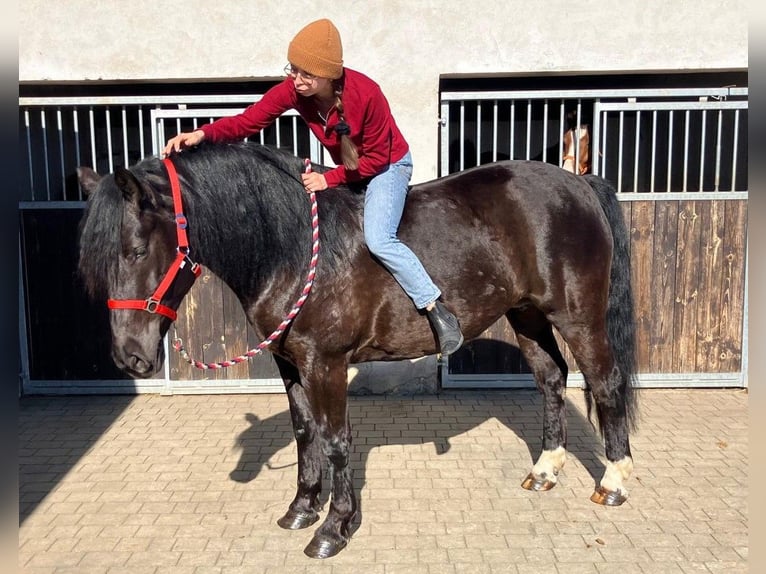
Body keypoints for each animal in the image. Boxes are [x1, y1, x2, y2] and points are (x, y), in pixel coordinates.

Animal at [76, 141, 638, 559]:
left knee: (605, 383)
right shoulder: (290, 363)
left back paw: (614, 482)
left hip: (578, 316)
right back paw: (544, 471)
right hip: (526, 315)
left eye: (136, 251)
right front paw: (302, 508)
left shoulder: (325, 364)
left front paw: (335, 528)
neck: (295, 248)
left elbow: (336, 441)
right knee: (551, 379)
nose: (129, 357)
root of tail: (579, 182)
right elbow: (305, 433)